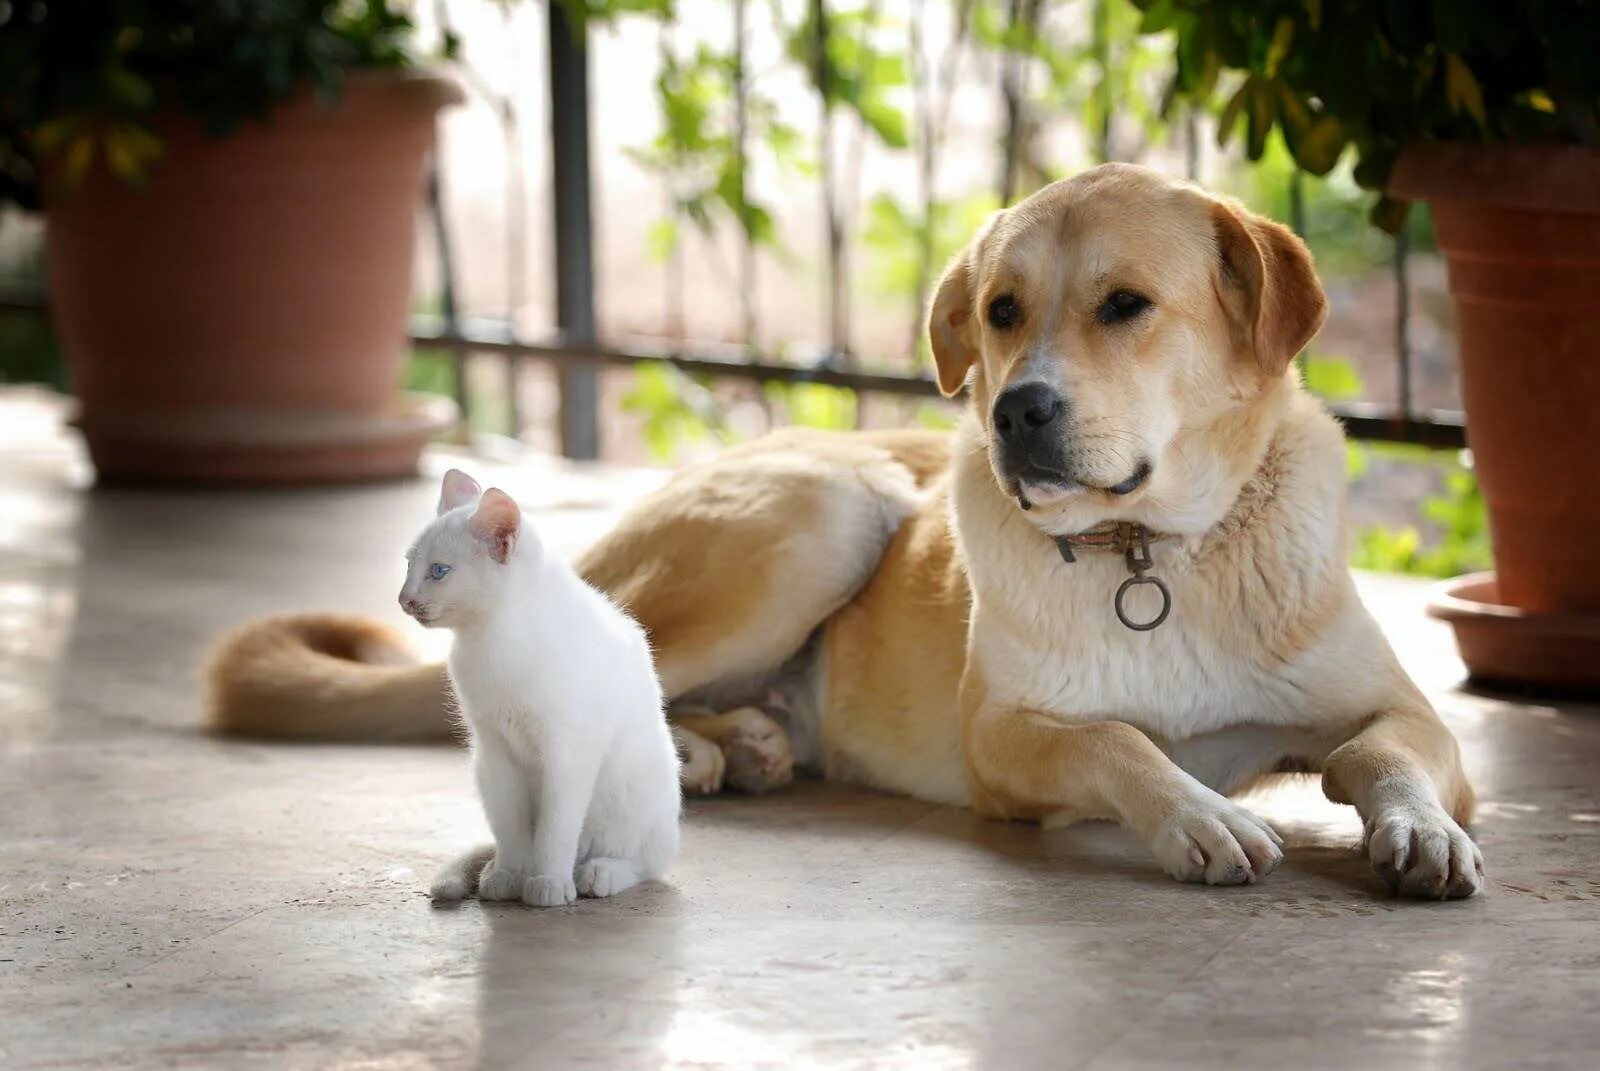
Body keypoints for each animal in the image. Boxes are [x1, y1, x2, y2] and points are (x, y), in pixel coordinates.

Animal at [406, 467, 681, 902]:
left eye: (438, 571)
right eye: (408, 564)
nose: (404, 600)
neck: (492, 639)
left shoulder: (567, 754)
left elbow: (555, 830)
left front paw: (548, 883)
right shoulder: (496, 751)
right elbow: (512, 830)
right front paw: (510, 875)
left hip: (629, 797)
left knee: (643, 863)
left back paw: (598, 873)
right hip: (482, 771)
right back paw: (495, 869)